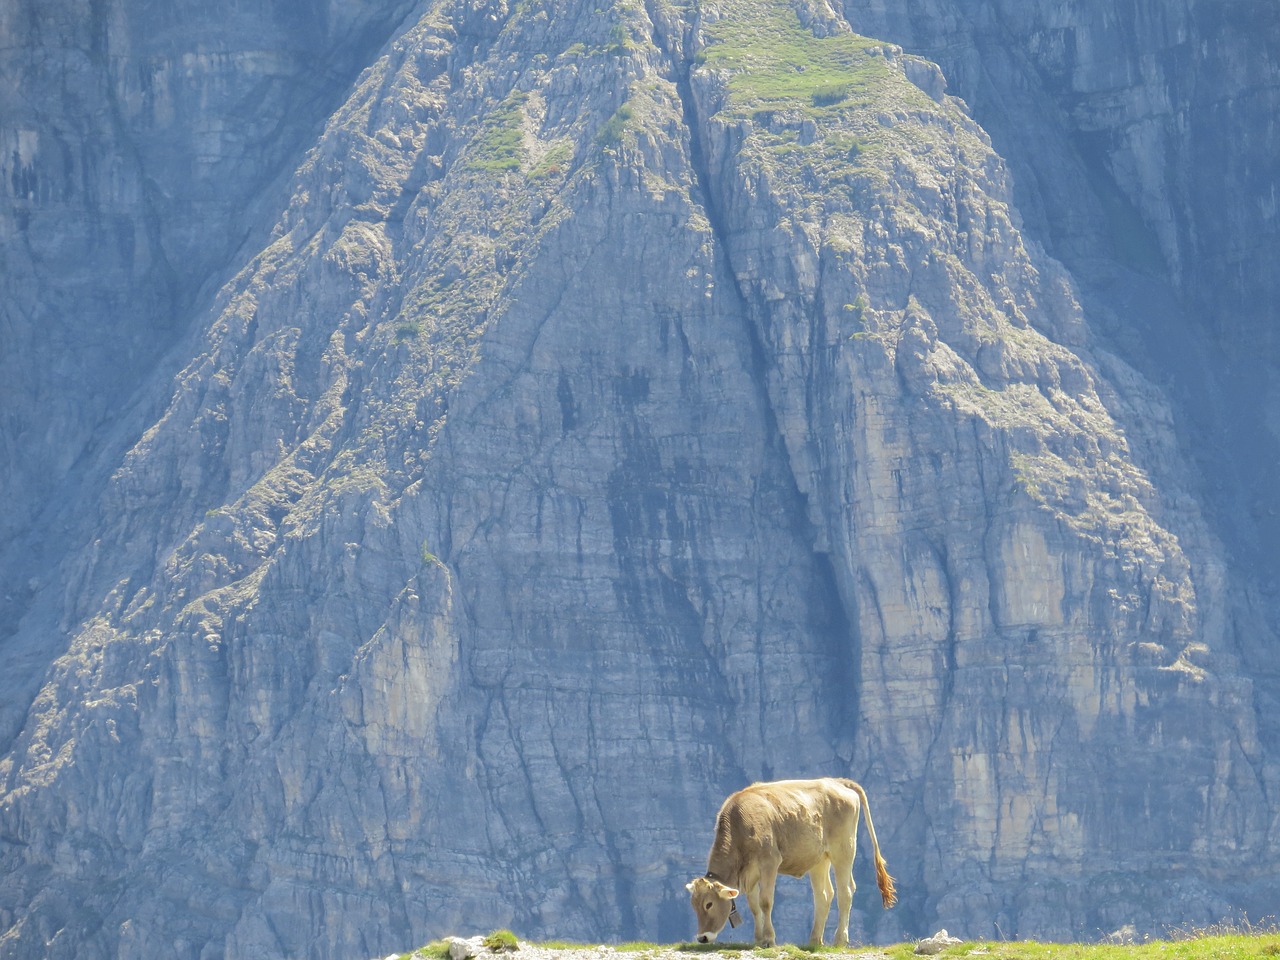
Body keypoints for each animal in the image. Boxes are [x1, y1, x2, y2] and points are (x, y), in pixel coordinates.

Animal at [686, 783, 896, 947]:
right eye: (693, 906)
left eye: (709, 904)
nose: (702, 937)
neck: (741, 825)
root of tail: (837, 782)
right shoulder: (749, 874)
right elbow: (754, 905)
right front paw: (758, 939)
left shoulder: (769, 862)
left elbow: (765, 901)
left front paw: (769, 939)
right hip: (820, 859)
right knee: (824, 895)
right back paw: (814, 940)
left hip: (844, 850)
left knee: (845, 892)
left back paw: (839, 940)